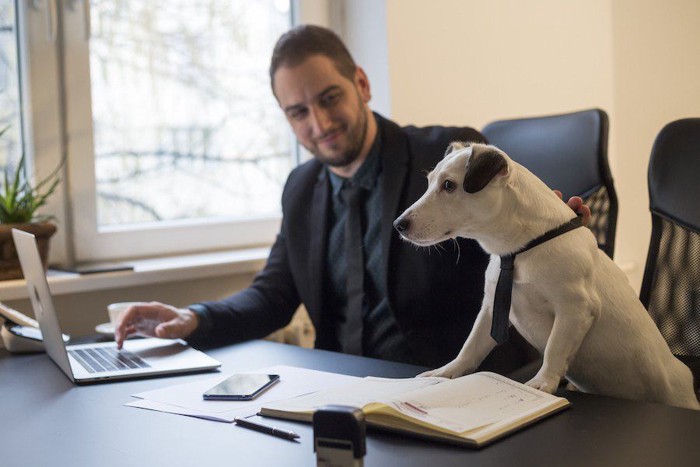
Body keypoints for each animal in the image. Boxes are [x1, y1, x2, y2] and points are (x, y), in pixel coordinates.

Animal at [394, 142, 700, 410]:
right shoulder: (492, 307)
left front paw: (543, 383)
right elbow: (471, 346)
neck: (519, 249)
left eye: (449, 185)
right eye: (430, 181)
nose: (399, 224)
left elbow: (555, 347)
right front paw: (447, 372)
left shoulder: (575, 308)